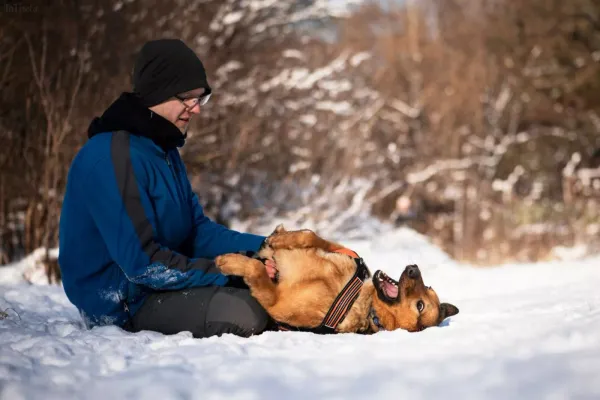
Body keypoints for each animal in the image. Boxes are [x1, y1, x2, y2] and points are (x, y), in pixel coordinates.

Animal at [216, 225, 460, 334]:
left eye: (420, 306)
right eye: (427, 286)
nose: (413, 269)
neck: (358, 299)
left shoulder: (277, 300)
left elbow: (256, 268)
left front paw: (229, 261)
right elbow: (309, 234)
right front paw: (280, 237)